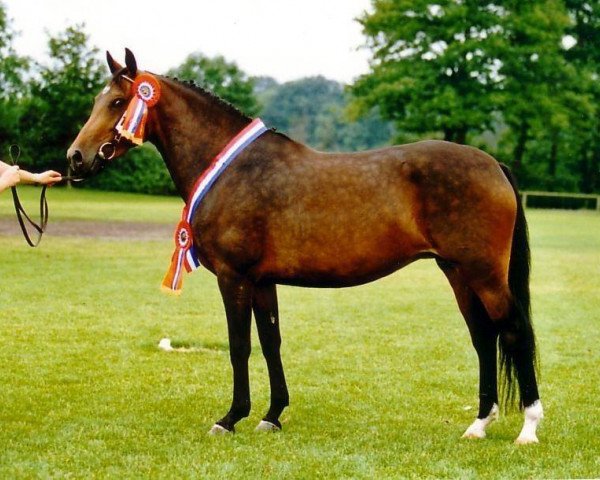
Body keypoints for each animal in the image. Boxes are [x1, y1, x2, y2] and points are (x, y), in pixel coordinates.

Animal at [67, 50, 544, 444]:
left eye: (117, 103)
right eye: (97, 101)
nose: (75, 158)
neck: (236, 169)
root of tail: (492, 164)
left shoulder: (234, 278)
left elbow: (239, 345)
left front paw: (230, 418)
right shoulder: (262, 282)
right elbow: (270, 342)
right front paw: (271, 415)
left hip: (484, 274)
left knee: (514, 331)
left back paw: (528, 428)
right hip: (457, 273)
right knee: (483, 336)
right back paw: (479, 424)